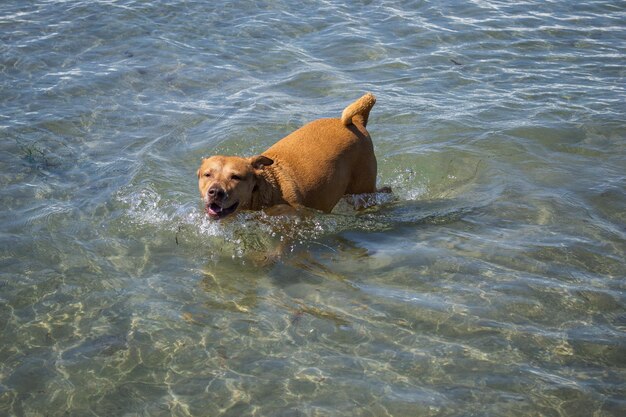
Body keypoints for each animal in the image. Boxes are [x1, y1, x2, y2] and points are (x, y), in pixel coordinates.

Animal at [197, 93, 378, 219]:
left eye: (235, 177)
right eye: (207, 175)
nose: (215, 192)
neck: (266, 187)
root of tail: (357, 121)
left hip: (363, 186)